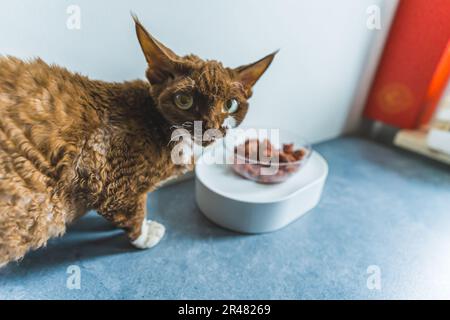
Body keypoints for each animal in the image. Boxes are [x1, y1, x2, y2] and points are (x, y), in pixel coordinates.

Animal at [0, 17, 276, 268]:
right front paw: (145, 235)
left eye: (230, 105)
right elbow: (132, 212)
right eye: (184, 100)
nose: (208, 128)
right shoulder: (114, 182)